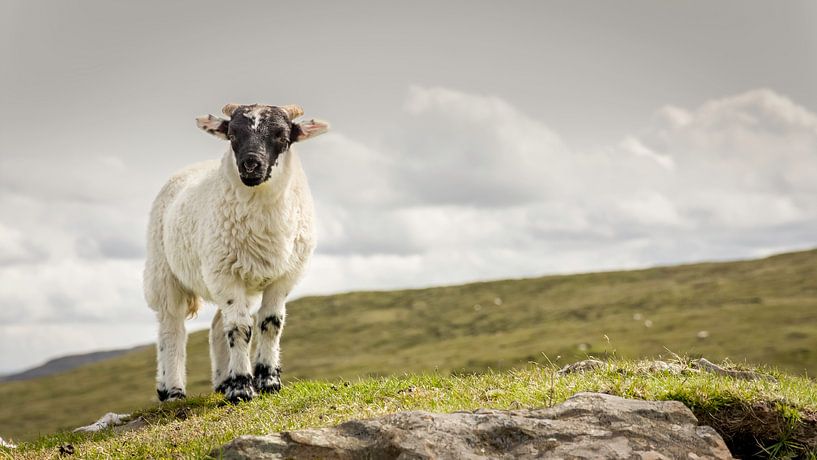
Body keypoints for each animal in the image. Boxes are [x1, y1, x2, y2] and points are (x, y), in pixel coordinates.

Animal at [143, 101, 328, 402]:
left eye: (281, 135)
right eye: (232, 135)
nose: (250, 164)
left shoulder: (283, 276)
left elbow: (270, 323)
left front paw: (268, 381)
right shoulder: (225, 274)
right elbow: (240, 328)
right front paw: (242, 387)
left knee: (217, 326)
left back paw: (221, 382)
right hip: (165, 272)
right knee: (172, 328)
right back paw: (172, 390)